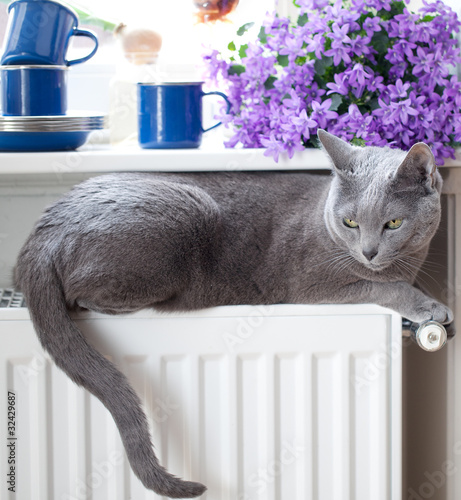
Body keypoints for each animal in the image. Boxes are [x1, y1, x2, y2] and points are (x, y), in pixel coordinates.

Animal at [12, 131, 452, 498]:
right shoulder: (314, 284)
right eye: (350, 222)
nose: (369, 251)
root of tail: (42, 232)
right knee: (82, 295)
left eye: (393, 223)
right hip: (187, 209)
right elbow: (385, 287)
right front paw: (433, 307)